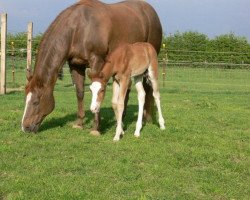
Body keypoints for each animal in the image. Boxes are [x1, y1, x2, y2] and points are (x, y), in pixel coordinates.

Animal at [21, 0, 162, 134]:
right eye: (25, 98)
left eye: (36, 101)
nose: (25, 127)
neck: (79, 27)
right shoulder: (76, 65)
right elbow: (79, 92)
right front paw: (79, 123)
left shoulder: (97, 61)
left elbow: (98, 92)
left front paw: (95, 128)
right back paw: (122, 120)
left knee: (148, 88)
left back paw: (147, 119)